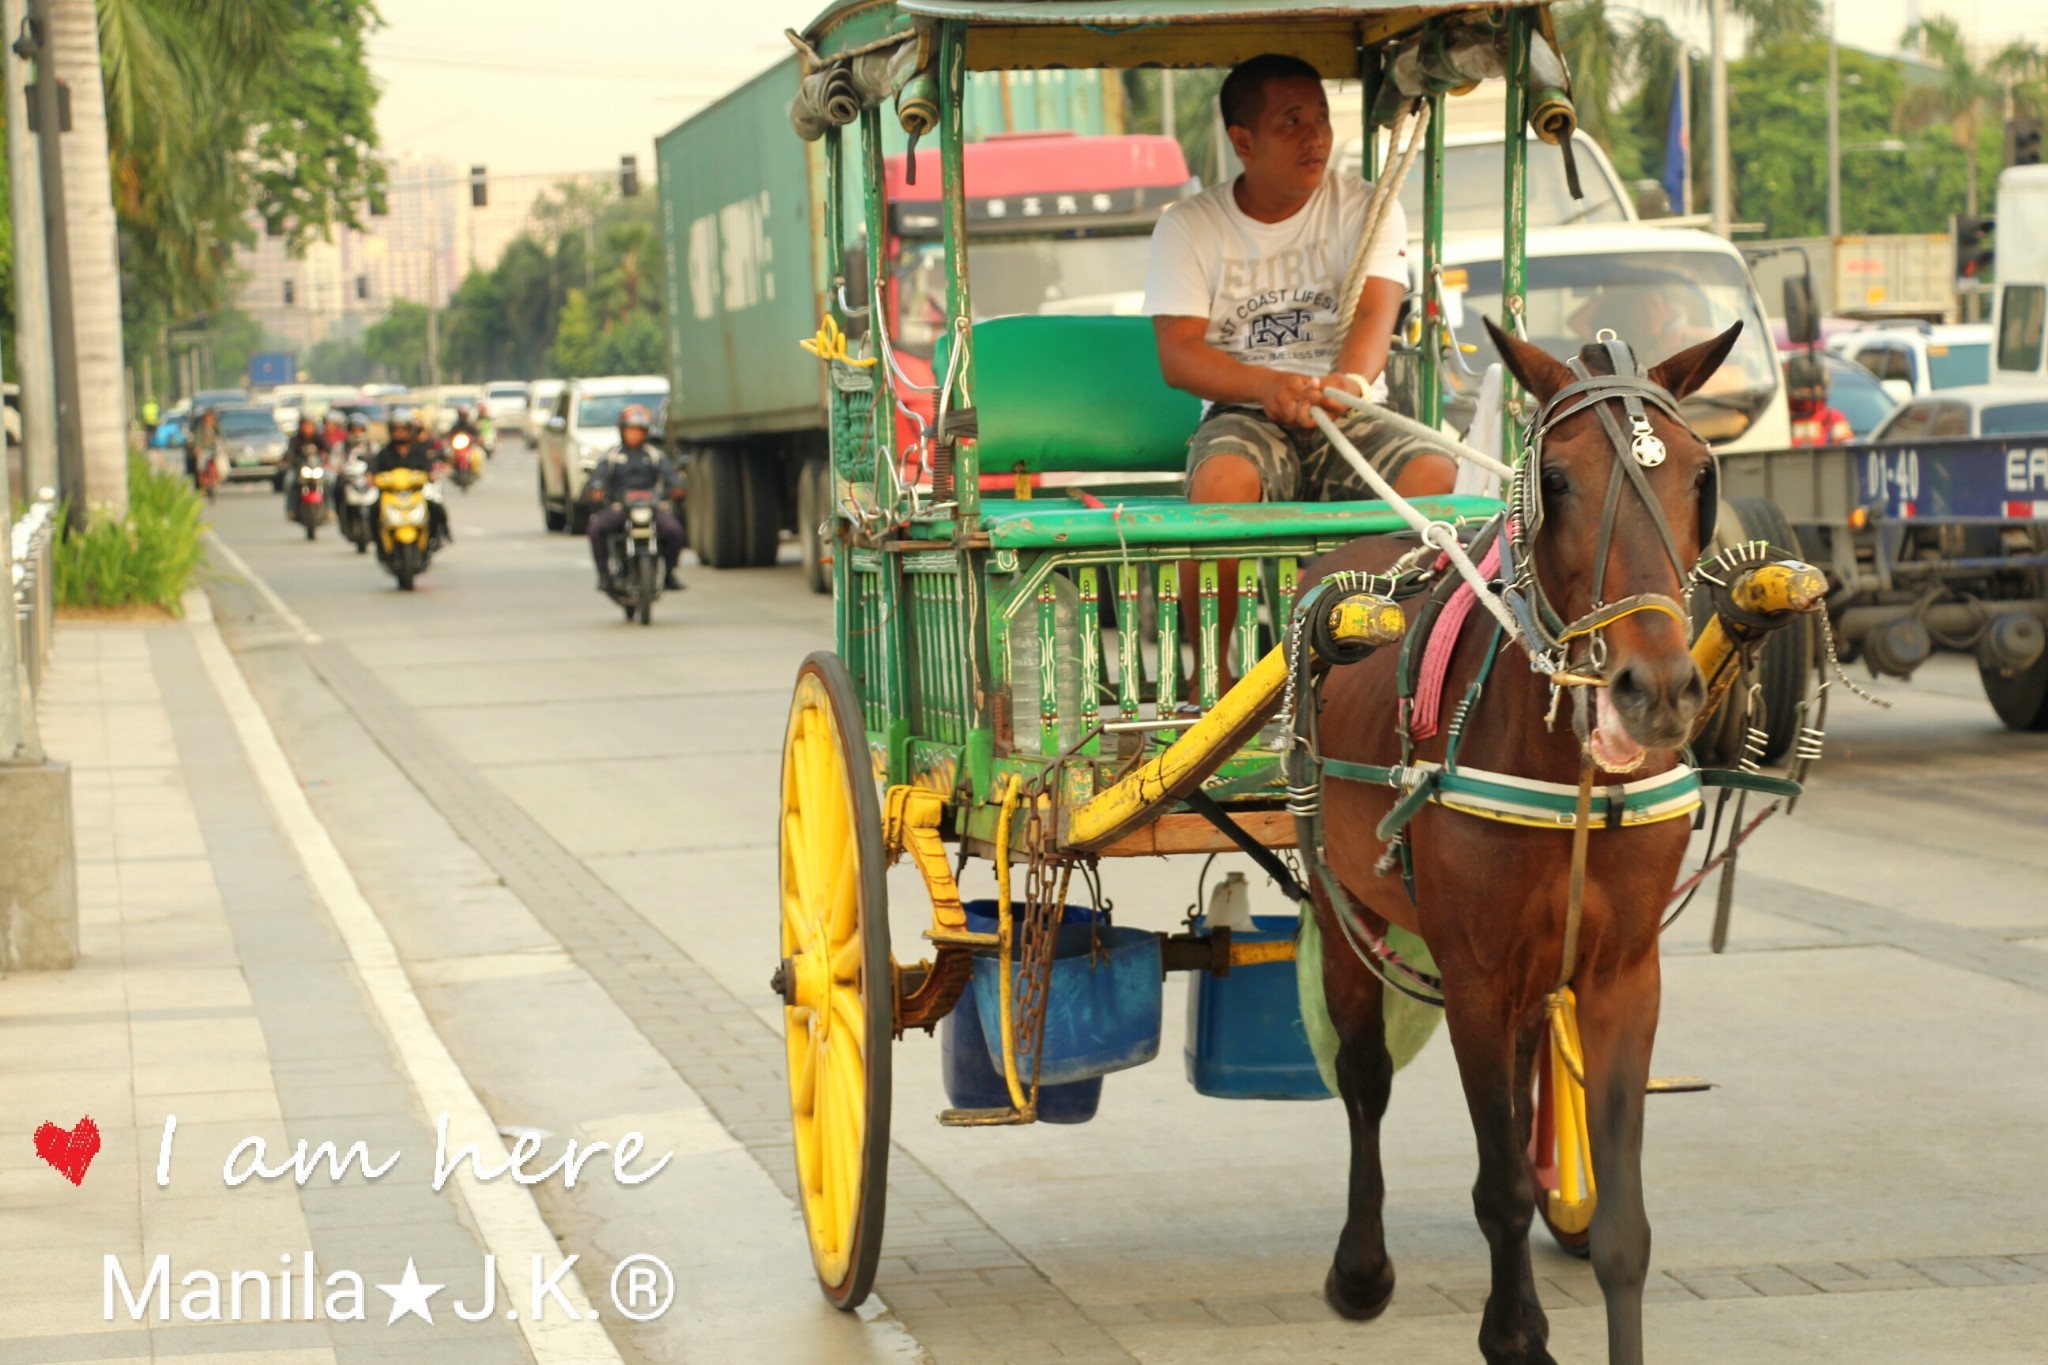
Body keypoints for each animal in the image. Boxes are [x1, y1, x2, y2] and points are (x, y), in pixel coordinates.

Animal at [1302, 323, 1736, 1365]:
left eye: (1701, 476)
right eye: (1559, 478)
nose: (1655, 691)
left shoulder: (1623, 973)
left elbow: (1624, 1227)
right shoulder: (1475, 975)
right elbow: (1496, 1181)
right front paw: (1515, 1327)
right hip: (1338, 895)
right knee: (1364, 1077)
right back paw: (1361, 1264)